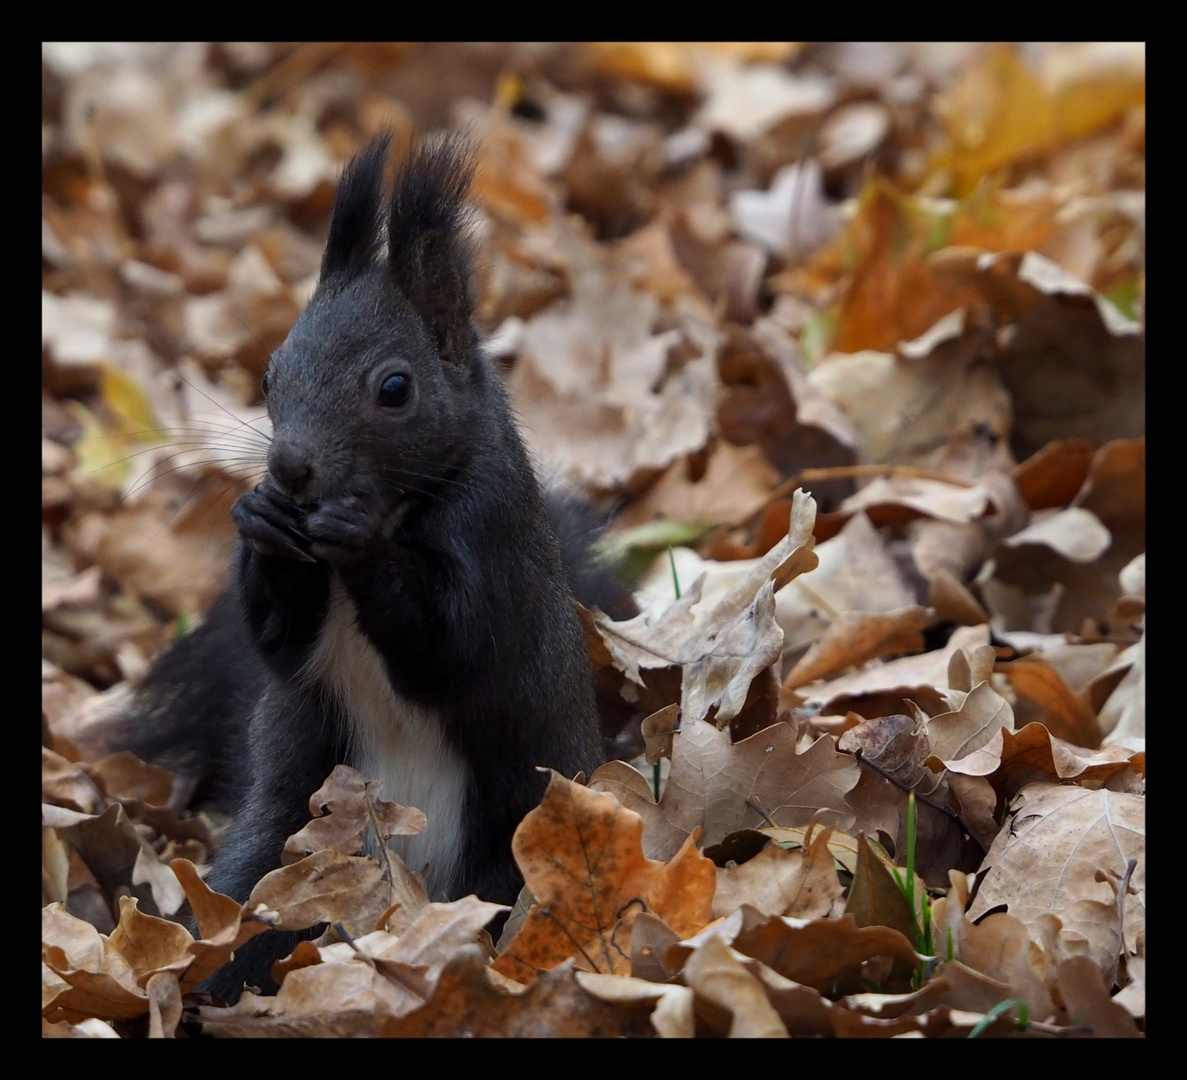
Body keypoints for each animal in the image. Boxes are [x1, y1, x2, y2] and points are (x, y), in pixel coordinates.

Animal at [120, 137, 631, 1006]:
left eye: (395, 388)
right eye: (270, 373)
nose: (290, 469)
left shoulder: (497, 545)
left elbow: (456, 649)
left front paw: (359, 540)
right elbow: (280, 643)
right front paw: (262, 522)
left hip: (512, 846)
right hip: (277, 854)